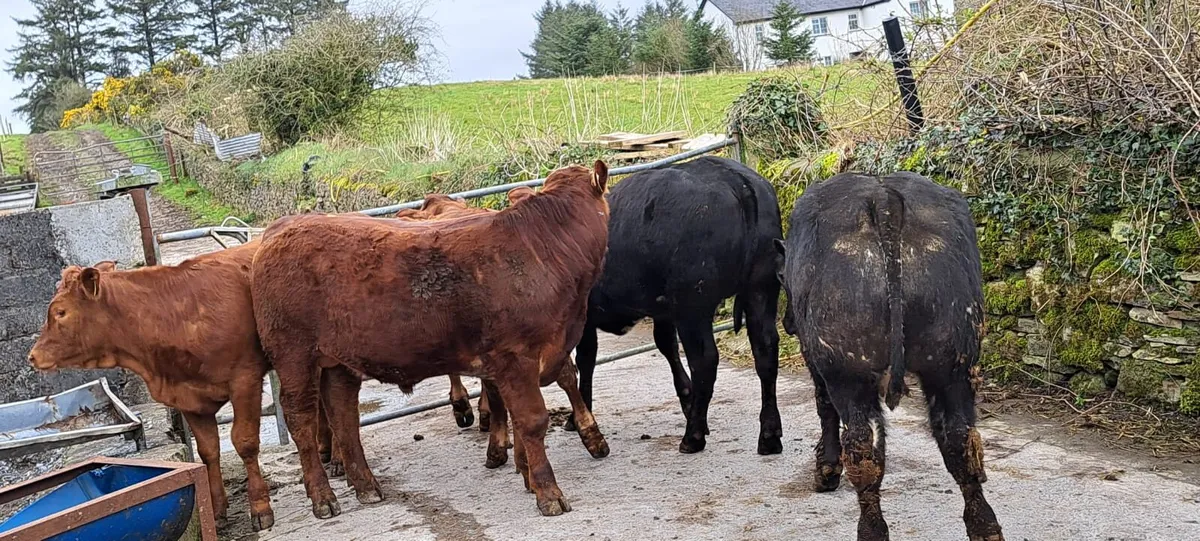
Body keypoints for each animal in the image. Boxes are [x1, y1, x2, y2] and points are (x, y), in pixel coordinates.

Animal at [26, 242, 277, 532]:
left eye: (60, 312)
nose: (32, 356)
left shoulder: (245, 379)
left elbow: (245, 442)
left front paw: (260, 508)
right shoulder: (189, 398)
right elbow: (208, 451)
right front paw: (216, 511)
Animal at [250, 162, 611, 519]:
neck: (541, 252)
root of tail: (280, 228)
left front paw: (526, 476)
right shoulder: (515, 358)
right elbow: (532, 421)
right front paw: (548, 491)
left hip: (339, 360)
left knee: (342, 412)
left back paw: (366, 486)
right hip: (294, 356)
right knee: (301, 419)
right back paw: (323, 497)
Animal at [571, 155, 784, 455]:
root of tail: (733, 177)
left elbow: (585, 360)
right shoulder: (662, 309)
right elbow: (666, 345)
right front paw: (688, 400)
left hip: (693, 304)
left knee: (705, 360)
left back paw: (693, 436)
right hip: (760, 289)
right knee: (765, 351)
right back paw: (769, 435)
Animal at [777, 172, 1004, 541]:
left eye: (781, 278)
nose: (787, 323)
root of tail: (884, 200)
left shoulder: (817, 361)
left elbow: (824, 407)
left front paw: (826, 470)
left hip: (849, 372)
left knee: (861, 447)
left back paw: (871, 529)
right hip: (952, 365)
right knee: (960, 440)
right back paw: (984, 526)